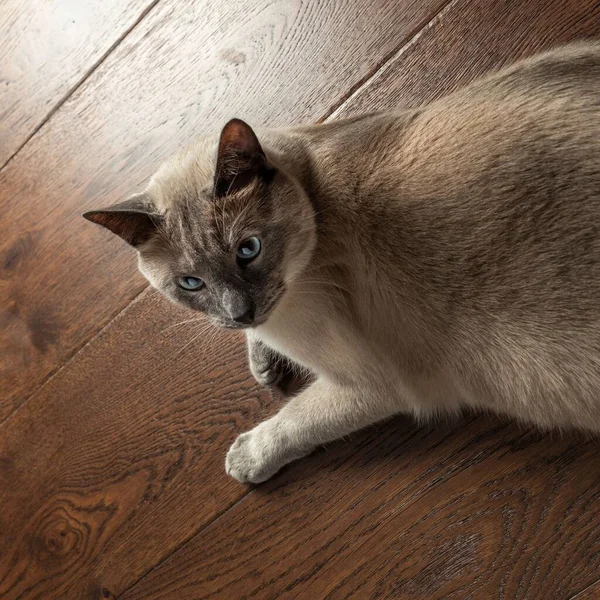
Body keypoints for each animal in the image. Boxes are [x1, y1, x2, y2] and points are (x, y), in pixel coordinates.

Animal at [83, 42, 600, 482]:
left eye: (247, 250)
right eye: (191, 284)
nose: (240, 313)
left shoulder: (371, 386)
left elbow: (293, 420)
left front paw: (245, 459)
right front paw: (262, 364)